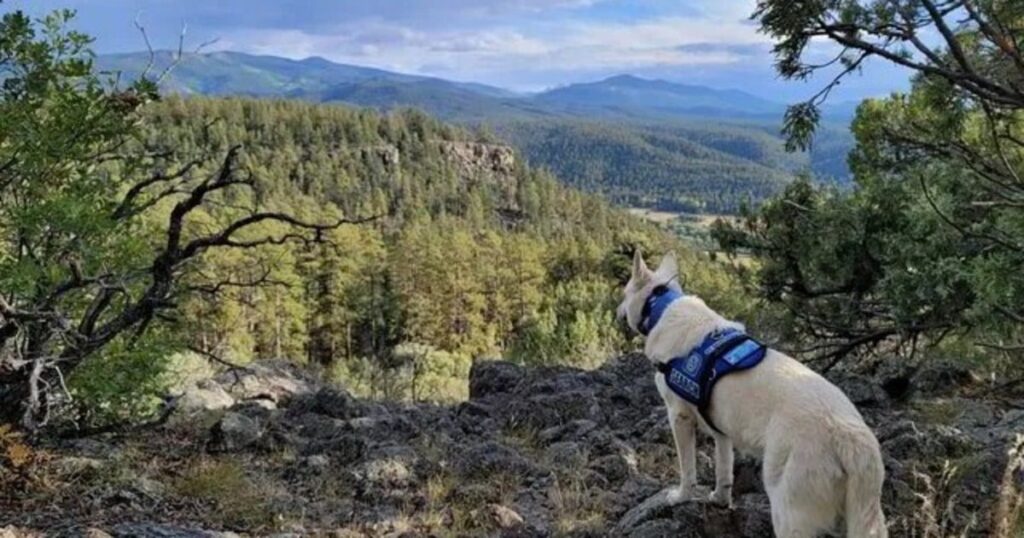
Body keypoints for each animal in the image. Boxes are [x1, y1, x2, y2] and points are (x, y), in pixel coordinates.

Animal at [614, 250, 888, 532]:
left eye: (624, 293)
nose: (616, 311)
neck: (662, 306)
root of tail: (851, 439)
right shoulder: (721, 432)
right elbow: (724, 471)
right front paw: (720, 500)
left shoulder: (679, 417)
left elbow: (687, 470)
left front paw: (680, 497)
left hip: (788, 511)